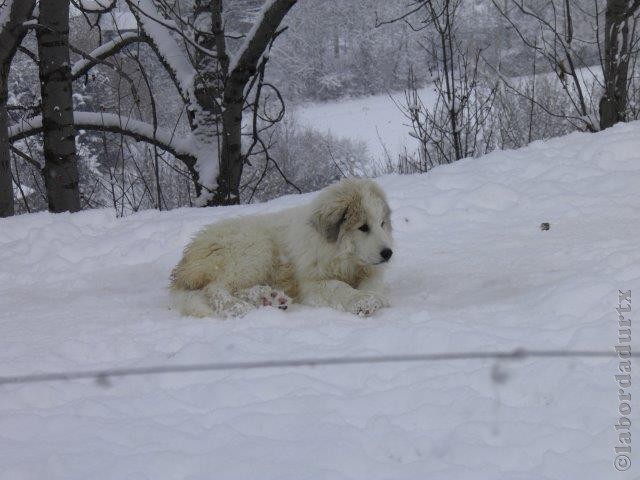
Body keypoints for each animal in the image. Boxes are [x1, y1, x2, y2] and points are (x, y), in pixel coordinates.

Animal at [170, 178, 392, 316]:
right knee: (215, 288)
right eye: (363, 227)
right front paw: (361, 301)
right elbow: (338, 286)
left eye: (382, 224)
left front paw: (374, 297)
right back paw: (240, 307)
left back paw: (269, 298)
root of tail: (184, 265)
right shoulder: (311, 284)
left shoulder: (370, 270)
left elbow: (373, 284)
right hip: (255, 249)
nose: (388, 253)